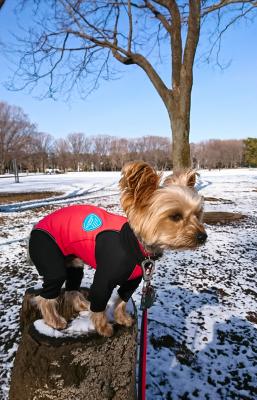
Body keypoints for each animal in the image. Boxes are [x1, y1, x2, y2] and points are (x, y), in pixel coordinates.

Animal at [28, 161, 206, 336]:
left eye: (198, 214)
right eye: (175, 216)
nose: (203, 237)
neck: (136, 244)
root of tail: (36, 227)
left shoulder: (132, 281)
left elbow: (122, 299)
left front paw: (122, 318)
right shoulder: (103, 279)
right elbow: (99, 302)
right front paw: (103, 328)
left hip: (74, 263)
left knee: (71, 288)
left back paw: (83, 305)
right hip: (49, 257)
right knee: (45, 296)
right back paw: (55, 321)